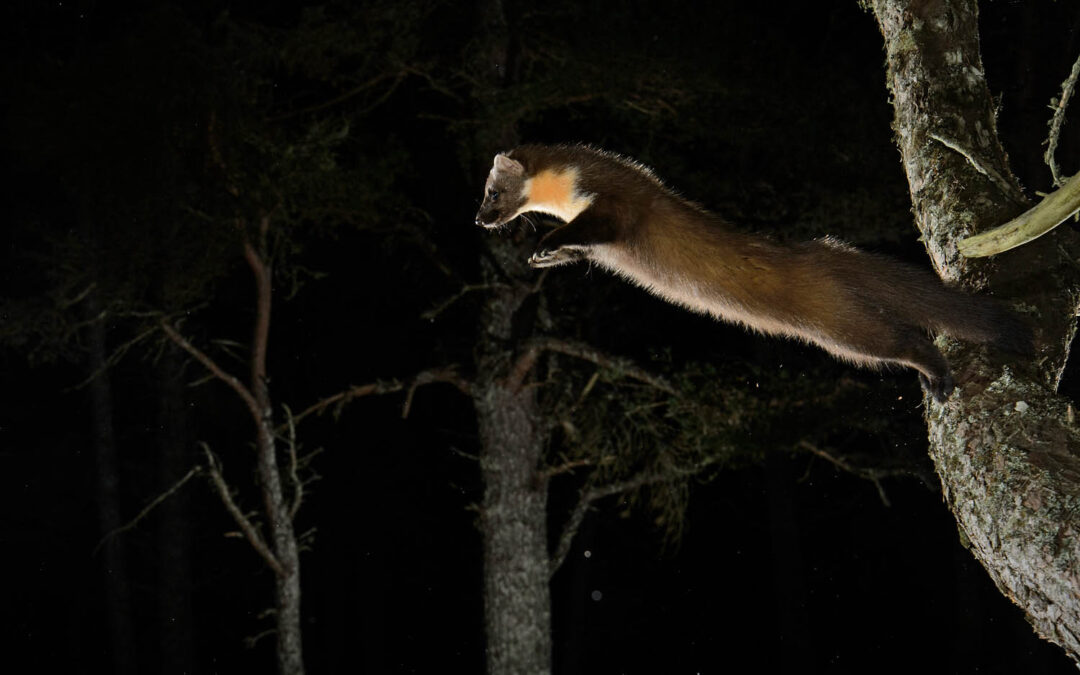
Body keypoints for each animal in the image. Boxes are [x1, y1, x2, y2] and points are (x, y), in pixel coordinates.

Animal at [474, 143, 1032, 401]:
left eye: (492, 192)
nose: (478, 219)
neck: (568, 199)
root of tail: (825, 255)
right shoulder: (596, 237)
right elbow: (584, 249)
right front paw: (547, 257)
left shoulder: (617, 204)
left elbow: (600, 227)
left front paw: (545, 243)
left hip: (842, 324)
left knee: (906, 340)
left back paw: (938, 378)